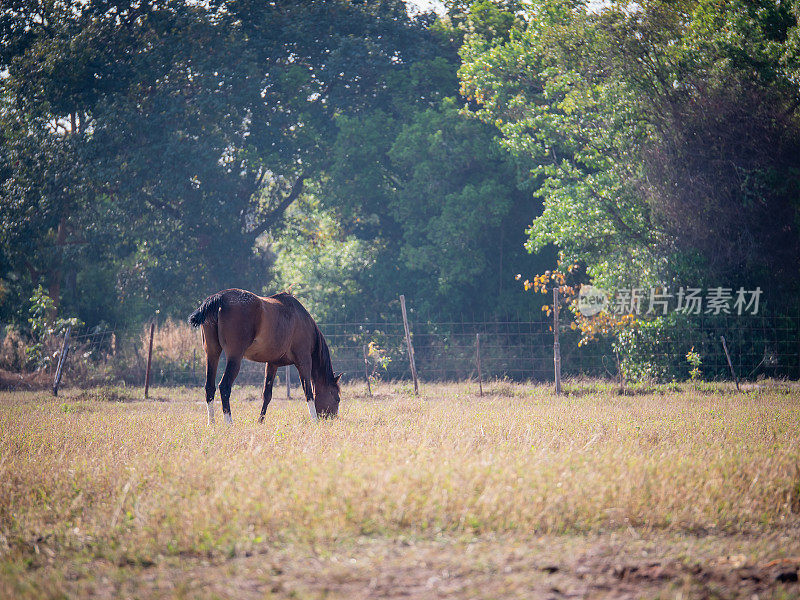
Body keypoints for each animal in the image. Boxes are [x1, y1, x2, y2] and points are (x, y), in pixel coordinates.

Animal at [189, 290, 342, 422]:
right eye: (337, 398)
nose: (332, 419)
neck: (302, 321)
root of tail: (220, 297)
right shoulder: (304, 361)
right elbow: (308, 392)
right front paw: (314, 420)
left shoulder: (272, 364)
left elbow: (267, 395)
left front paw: (260, 422)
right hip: (234, 358)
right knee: (224, 387)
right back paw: (229, 423)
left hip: (212, 354)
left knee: (210, 387)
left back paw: (212, 424)